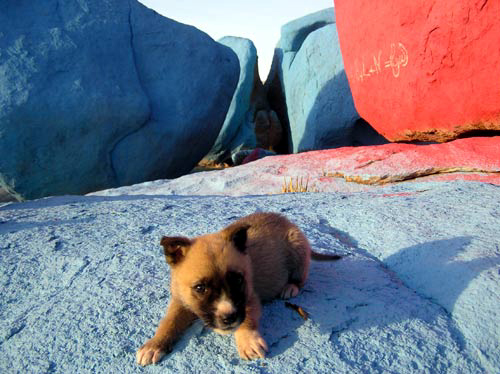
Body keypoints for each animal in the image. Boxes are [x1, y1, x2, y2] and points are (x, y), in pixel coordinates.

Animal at [137, 212, 340, 366]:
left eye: (237, 280)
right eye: (200, 288)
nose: (229, 318)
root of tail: (288, 222)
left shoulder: (249, 298)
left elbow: (247, 319)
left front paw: (248, 340)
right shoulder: (180, 302)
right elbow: (169, 321)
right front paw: (154, 344)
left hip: (297, 247)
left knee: (301, 277)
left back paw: (290, 287)